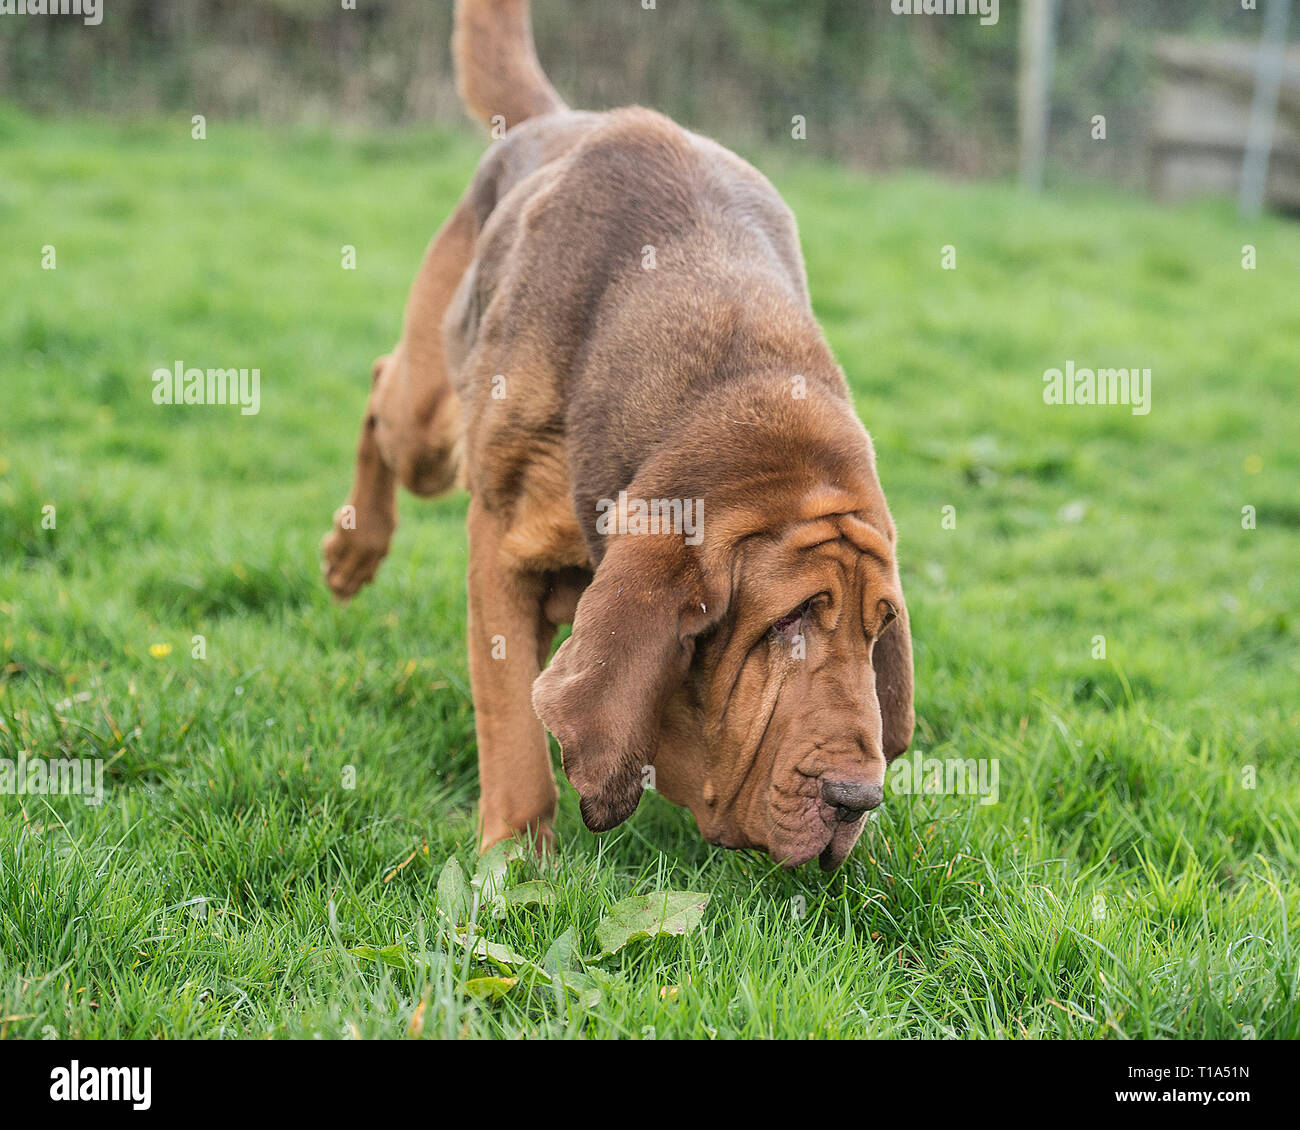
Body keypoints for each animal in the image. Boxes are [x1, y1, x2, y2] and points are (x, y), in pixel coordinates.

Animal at [323, 0, 915, 873]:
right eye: (787, 624)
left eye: (879, 631)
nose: (857, 800)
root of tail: (557, 116)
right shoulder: (499, 545)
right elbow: (513, 732)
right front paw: (515, 863)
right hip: (428, 422)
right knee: (379, 388)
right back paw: (352, 552)